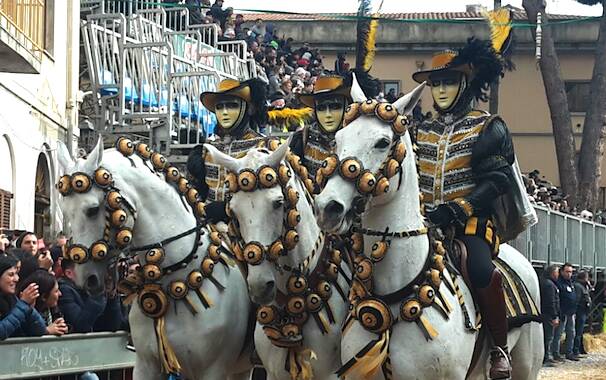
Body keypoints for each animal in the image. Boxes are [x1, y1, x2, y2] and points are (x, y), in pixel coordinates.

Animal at [56, 140, 254, 380]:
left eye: (92, 210)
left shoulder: (212, 371)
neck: (174, 281)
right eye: (65, 212)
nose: (87, 279)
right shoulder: (145, 365)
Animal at [316, 78, 544, 378]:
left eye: (382, 142)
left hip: (526, 364)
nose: (328, 207)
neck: (393, 297)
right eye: (338, 139)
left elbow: (497, 176)